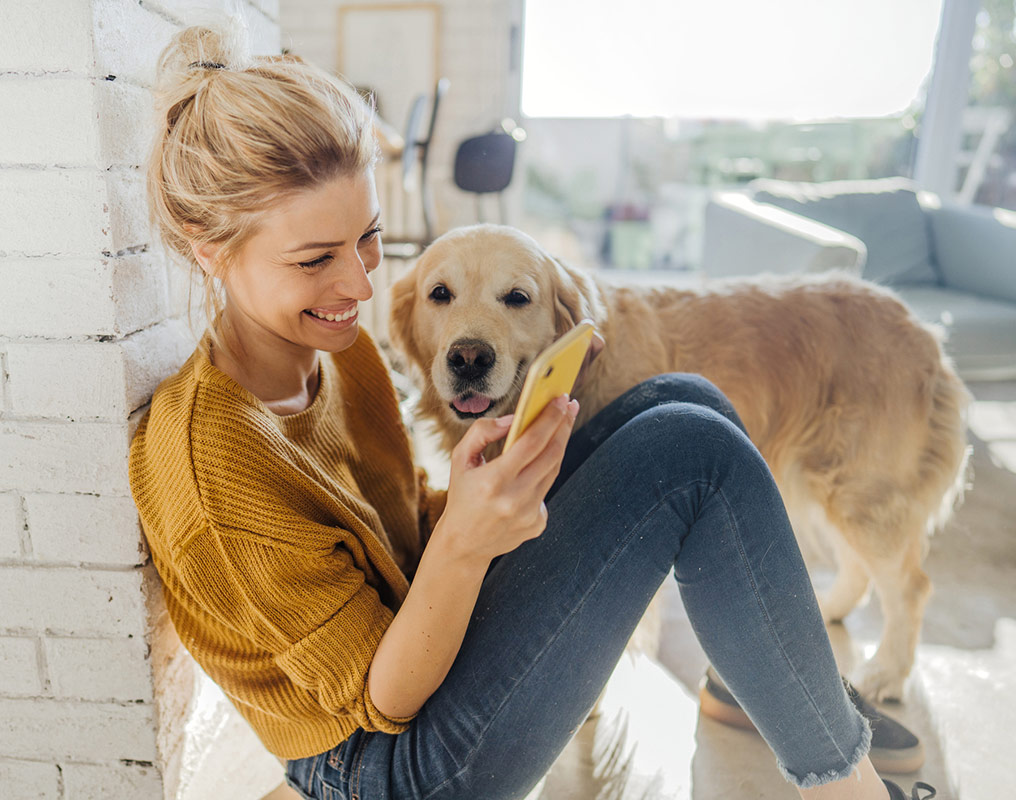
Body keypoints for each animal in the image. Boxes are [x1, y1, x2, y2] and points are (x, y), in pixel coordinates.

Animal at [386, 223, 967, 699]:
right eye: (440, 294)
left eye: (517, 297)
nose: (468, 358)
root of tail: (925, 332)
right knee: (861, 570)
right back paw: (823, 613)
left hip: (864, 492)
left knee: (910, 587)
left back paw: (886, 674)